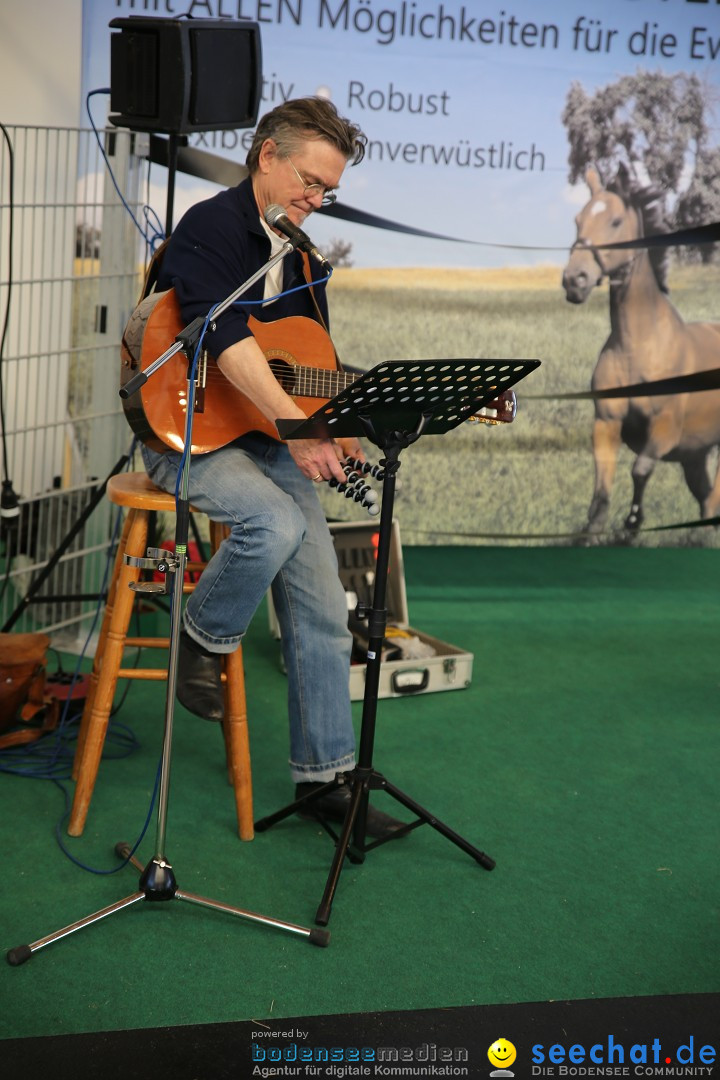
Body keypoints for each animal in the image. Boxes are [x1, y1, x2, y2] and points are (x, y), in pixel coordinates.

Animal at [561, 166, 720, 537]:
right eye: (578, 220)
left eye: (616, 221)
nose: (575, 280)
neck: (637, 349)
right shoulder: (606, 422)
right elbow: (601, 492)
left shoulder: (665, 429)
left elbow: (640, 469)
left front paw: (633, 523)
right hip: (696, 454)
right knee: (706, 499)